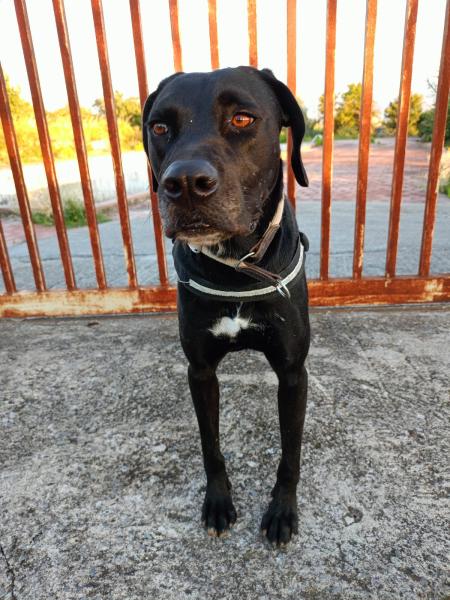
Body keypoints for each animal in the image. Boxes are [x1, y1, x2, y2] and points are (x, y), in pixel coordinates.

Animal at [142, 67, 310, 547]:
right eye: (159, 127)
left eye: (242, 119)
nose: (183, 184)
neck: (237, 268)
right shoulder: (199, 371)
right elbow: (210, 444)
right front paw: (217, 500)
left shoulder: (293, 373)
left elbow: (290, 452)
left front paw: (282, 510)